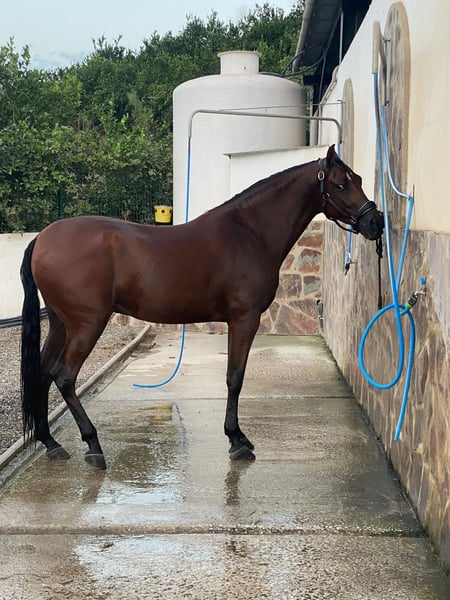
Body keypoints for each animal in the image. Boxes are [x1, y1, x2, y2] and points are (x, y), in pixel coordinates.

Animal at [20, 145, 384, 470]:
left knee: (43, 371)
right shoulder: (244, 319)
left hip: (61, 324)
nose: (375, 223)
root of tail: (42, 238)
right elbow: (235, 377)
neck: (250, 232)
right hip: (87, 324)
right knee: (64, 376)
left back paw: (51, 443)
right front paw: (237, 440)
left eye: (358, 178)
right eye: (340, 184)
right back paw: (93, 445)